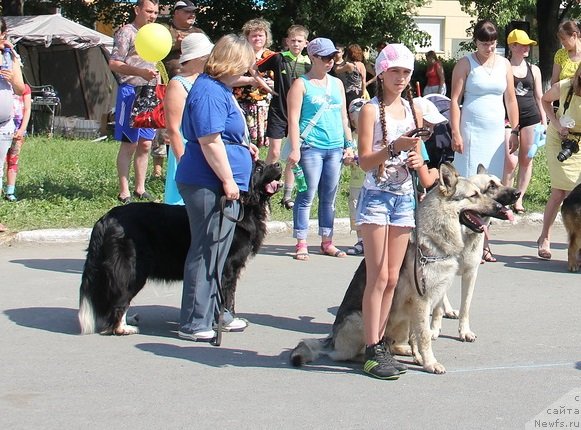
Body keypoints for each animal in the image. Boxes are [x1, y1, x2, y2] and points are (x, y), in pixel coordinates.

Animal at [78, 161, 282, 336]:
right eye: (258, 169)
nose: (279, 164)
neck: (247, 205)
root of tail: (105, 219)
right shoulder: (227, 267)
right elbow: (227, 297)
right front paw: (228, 321)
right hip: (132, 269)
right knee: (120, 296)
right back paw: (123, 328)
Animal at [290, 163, 516, 374]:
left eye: (482, 192)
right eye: (474, 195)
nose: (502, 206)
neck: (435, 239)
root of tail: (331, 338)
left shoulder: (428, 299)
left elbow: (420, 334)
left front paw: (422, 359)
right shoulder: (422, 300)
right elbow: (424, 335)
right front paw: (430, 363)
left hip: (402, 318)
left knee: (396, 342)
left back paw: (401, 351)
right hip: (362, 318)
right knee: (349, 354)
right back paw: (376, 357)